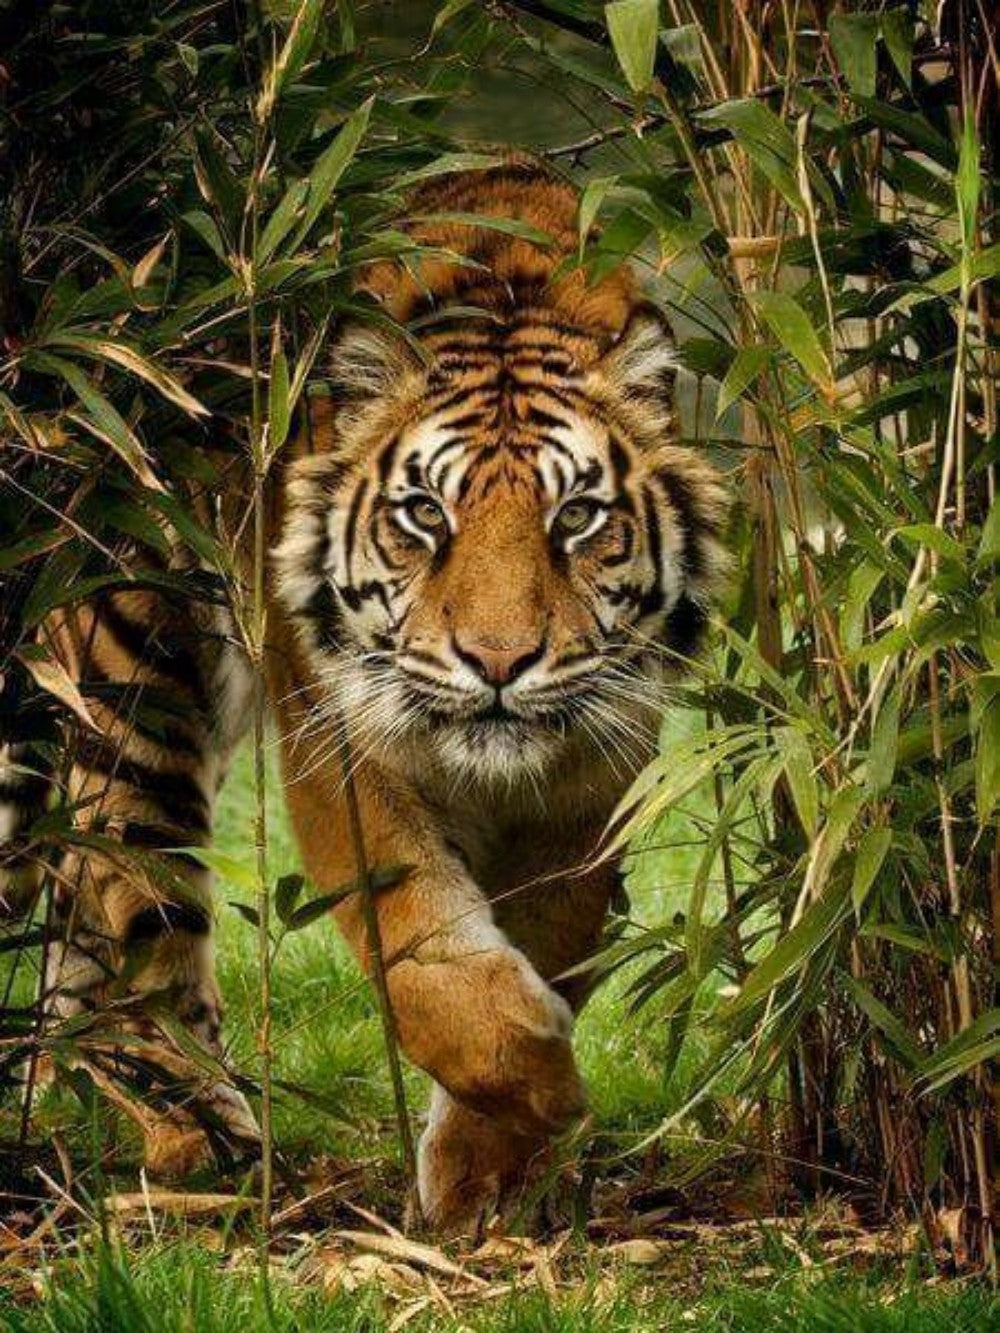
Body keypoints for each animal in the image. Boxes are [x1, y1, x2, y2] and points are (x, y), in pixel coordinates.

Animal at [1, 161, 728, 1234]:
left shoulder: (596, 769)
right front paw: (545, 1086)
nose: (499, 661)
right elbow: (422, 949)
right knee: (130, 894)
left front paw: (485, 1176)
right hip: (134, 670)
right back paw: (201, 1141)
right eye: (424, 514)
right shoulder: (341, 742)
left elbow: (549, 933)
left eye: (577, 517)